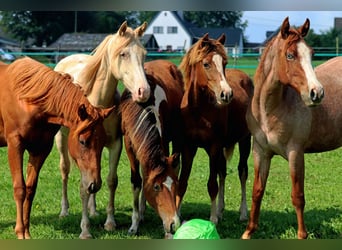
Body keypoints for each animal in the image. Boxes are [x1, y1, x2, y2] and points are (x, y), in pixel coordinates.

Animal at [0, 57, 113, 239]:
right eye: (83, 141)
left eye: (103, 143)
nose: (94, 184)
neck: (29, 98)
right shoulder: (15, 145)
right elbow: (20, 189)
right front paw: (20, 232)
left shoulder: (41, 149)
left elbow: (30, 189)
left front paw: (27, 232)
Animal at [54, 21, 150, 238]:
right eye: (123, 54)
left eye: (144, 54)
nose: (144, 91)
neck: (96, 104)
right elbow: (83, 186)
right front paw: (85, 229)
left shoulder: (114, 144)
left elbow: (110, 180)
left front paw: (110, 222)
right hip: (61, 140)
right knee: (64, 170)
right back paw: (64, 211)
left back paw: (93, 210)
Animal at [120, 59, 184, 237]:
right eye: (156, 187)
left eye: (175, 185)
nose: (174, 224)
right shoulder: (129, 146)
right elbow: (137, 182)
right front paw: (134, 224)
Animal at [176, 33, 254, 225]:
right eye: (206, 64)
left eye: (224, 63)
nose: (226, 94)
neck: (198, 111)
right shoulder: (188, 147)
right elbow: (182, 182)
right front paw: (176, 218)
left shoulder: (214, 147)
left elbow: (212, 184)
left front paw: (212, 220)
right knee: (223, 172)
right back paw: (220, 209)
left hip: (245, 141)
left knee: (242, 172)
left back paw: (242, 213)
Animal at [240, 16, 326, 239]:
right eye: (290, 55)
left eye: (312, 54)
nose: (317, 92)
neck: (271, 109)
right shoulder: (260, 152)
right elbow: (257, 191)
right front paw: (249, 231)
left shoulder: (296, 154)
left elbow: (298, 196)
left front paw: (302, 235)